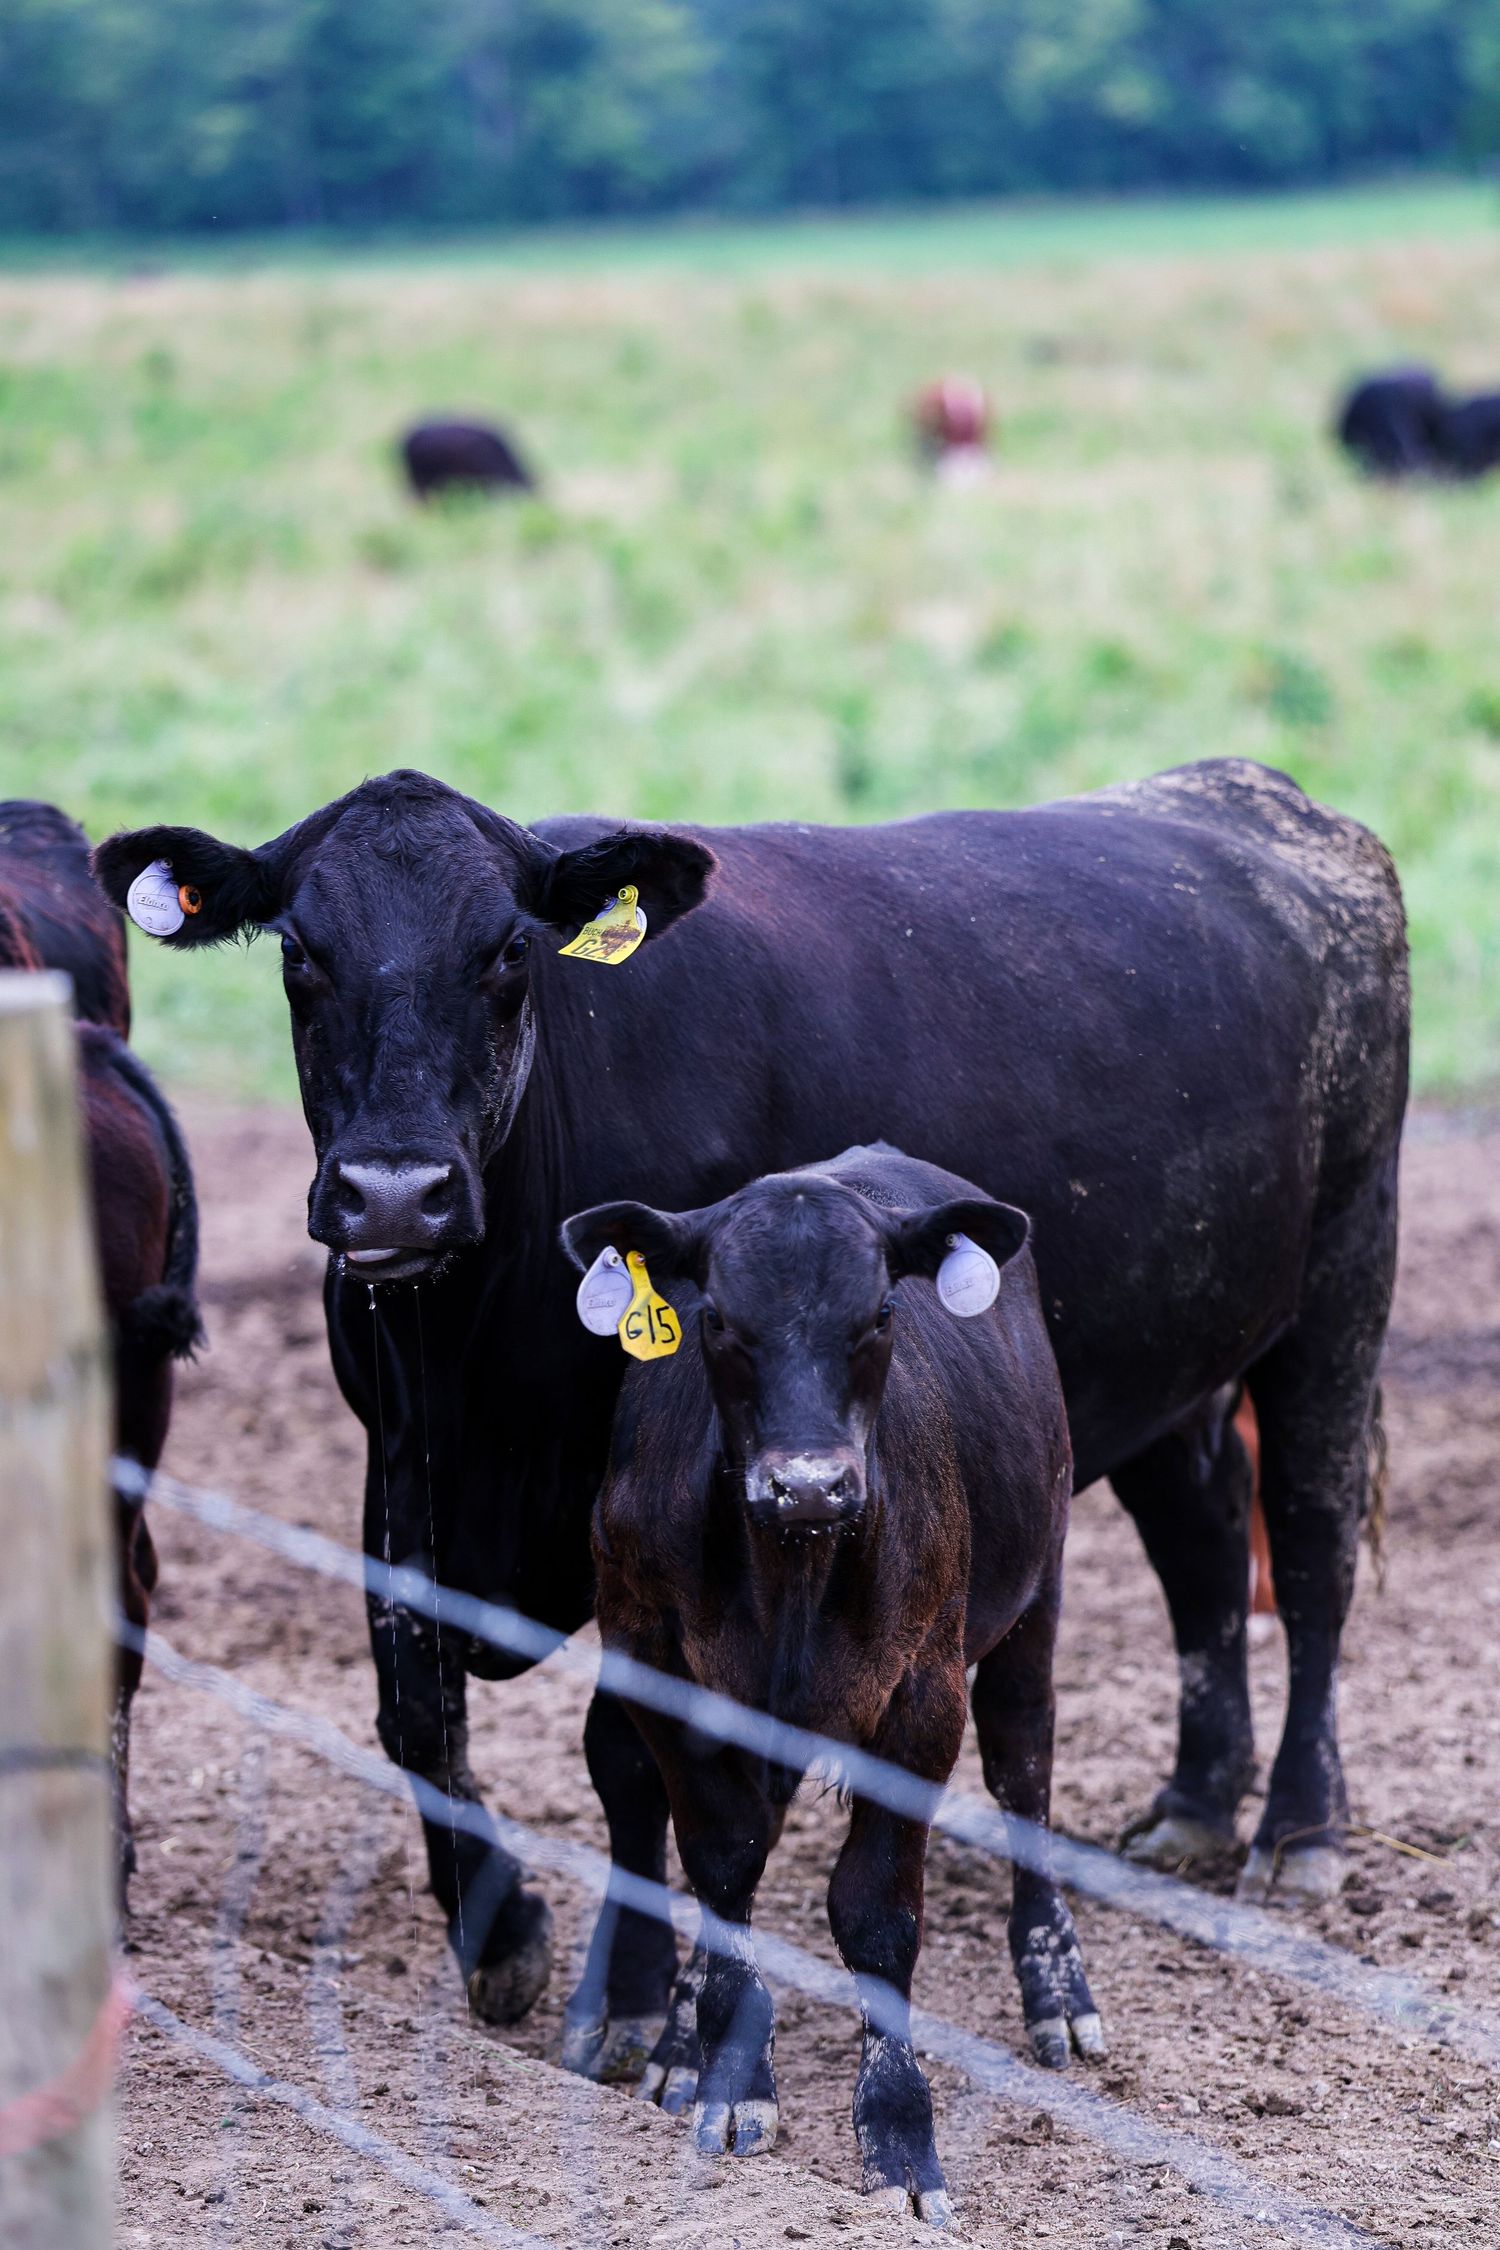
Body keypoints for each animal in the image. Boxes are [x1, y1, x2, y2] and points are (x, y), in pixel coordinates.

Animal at [92, 757, 1407, 2061]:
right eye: (299, 952)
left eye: (509, 951)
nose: (395, 1195)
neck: (477, 1358)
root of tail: (1257, 790)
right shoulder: (401, 1455)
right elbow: (416, 1710)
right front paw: (503, 1934)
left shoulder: (632, 1497)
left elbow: (621, 1751)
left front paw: (632, 1996)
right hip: (1168, 1358)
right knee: (1202, 1547)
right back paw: (1194, 1807)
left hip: (1342, 1286)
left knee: (1311, 1552)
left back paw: (1298, 1835)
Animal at [561, 1145, 1101, 2218]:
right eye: (717, 1316)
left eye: (881, 1313)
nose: (808, 1485)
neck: (789, 1573)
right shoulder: (651, 1662)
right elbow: (723, 1859)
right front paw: (726, 2076)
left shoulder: (922, 1695)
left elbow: (876, 1913)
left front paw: (898, 2140)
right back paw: (684, 2041)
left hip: (1040, 1583)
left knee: (1024, 1765)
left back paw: (1058, 1988)